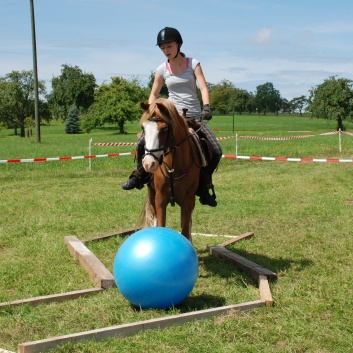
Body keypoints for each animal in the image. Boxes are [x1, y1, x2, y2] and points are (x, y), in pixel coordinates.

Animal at [139, 97, 202, 243]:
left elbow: (185, 229)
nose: (148, 163)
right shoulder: (160, 199)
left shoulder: (188, 201)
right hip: (151, 194)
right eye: (143, 128)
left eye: (164, 129)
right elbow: (161, 223)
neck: (174, 168)